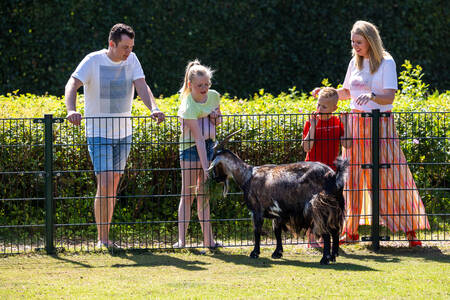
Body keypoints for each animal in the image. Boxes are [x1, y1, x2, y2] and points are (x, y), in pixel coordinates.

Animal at [207, 142, 348, 264]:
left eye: (214, 162)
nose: (215, 178)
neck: (247, 176)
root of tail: (333, 176)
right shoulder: (278, 213)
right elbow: (277, 231)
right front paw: (277, 253)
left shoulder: (257, 210)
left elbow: (257, 231)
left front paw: (255, 253)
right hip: (335, 208)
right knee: (335, 230)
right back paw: (333, 256)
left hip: (319, 208)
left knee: (326, 233)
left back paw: (325, 259)